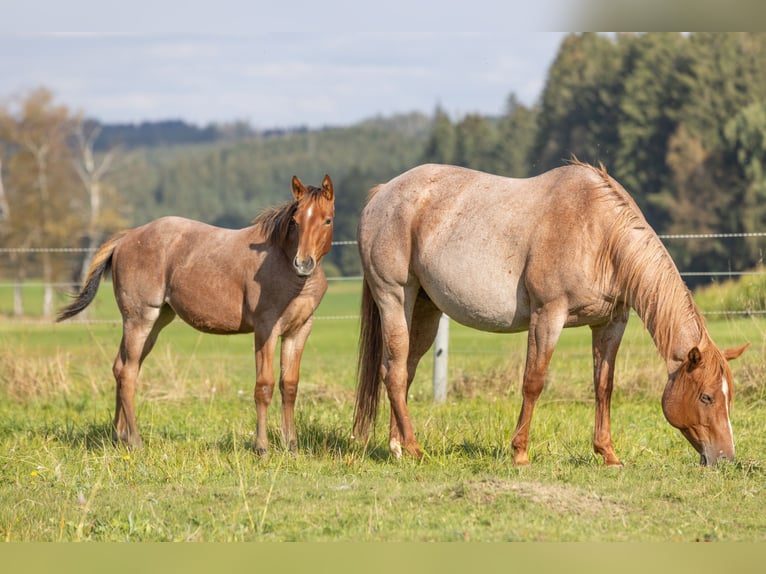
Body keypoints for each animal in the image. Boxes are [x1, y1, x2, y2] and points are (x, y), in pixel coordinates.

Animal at [58, 174, 334, 454]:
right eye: (295, 221)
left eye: (327, 220)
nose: (303, 263)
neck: (284, 266)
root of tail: (128, 236)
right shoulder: (266, 330)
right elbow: (264, 386)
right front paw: (262, 448)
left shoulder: (298, 331)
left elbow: (289, 386)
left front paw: (291, 446)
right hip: (139, 320)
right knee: (127, 373)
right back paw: (135, 441)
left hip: (156, 322)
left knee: (121, 367)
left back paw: (119, 436)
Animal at [356, 162, 752, 468]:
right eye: (707, 397)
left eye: (729, 397)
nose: (725, 458)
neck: (599, 234)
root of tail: (382, 193)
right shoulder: (548, 316)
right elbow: (533, 382)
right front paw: (520, 453)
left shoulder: (610, 323)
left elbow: (603, 386)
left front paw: (608, 454)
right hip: (395, 297)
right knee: (394, 373)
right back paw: (414, 449)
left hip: (425, 309)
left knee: (404, 370)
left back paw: (397, 446)